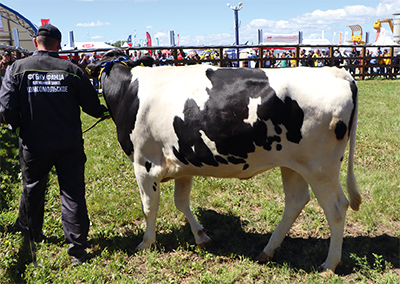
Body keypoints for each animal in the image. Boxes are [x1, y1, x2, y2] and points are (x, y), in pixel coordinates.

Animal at [87, 49, 362, 272]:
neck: (129, 91)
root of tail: (337, 72)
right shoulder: (182, 163)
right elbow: (181, 202)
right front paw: (200, 236)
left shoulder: (144, 164)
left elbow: (149, 207)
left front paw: (146, 243)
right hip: (293, 163)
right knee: (296, 201)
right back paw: (267, 251)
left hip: (320, 167)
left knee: (336, 208)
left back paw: (329, 264)